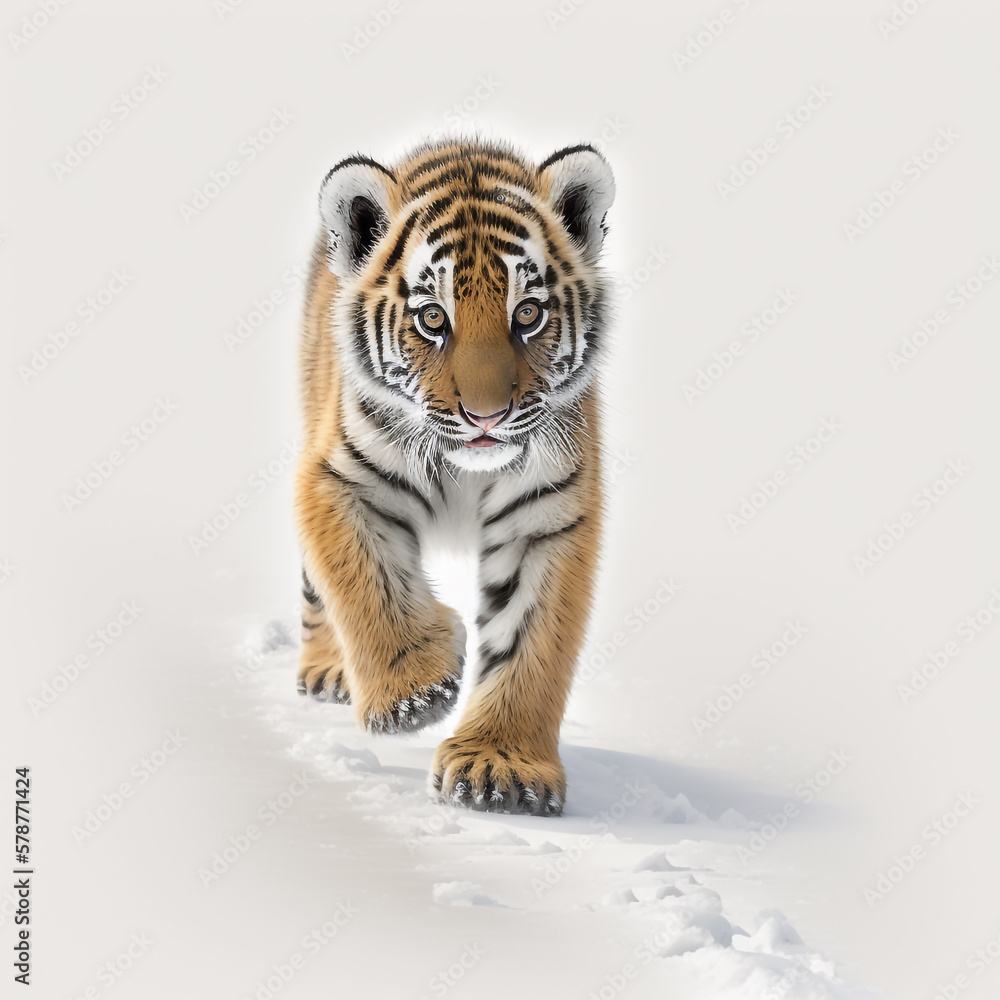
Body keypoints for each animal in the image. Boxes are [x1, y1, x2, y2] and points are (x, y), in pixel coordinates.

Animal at [294, 136, 615, 816]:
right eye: (434, 319)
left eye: (528, 314)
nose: (486, 417)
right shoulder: (338, 479)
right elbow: (364, 583)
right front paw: (414, 693)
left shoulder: (547, 515)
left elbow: (530, 641)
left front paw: (500, 766)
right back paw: (329, 669)